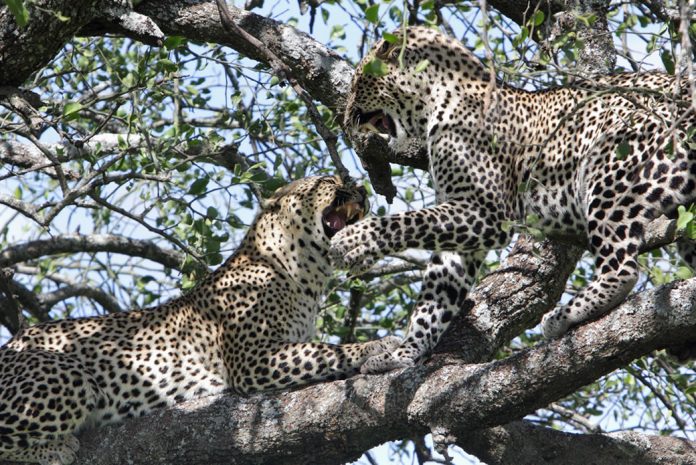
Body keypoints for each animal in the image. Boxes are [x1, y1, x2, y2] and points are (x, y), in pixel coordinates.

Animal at [0, 175, 400, 464]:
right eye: (329, 180)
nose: (362, 189)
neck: (305, 278)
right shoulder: (253, 359)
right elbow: (326, 350)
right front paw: (378, 346)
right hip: (70, 376)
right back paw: (53, 448)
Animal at [330, 26, 696, 374]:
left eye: (358, 83)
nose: (345, 118)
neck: (433, 100)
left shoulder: (488, 212)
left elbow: (407, 221)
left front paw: (357, 241)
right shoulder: (461, 219)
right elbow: (435, 297)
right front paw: (404, 353)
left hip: (610, 167)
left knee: (623, 267)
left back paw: (567, 314)